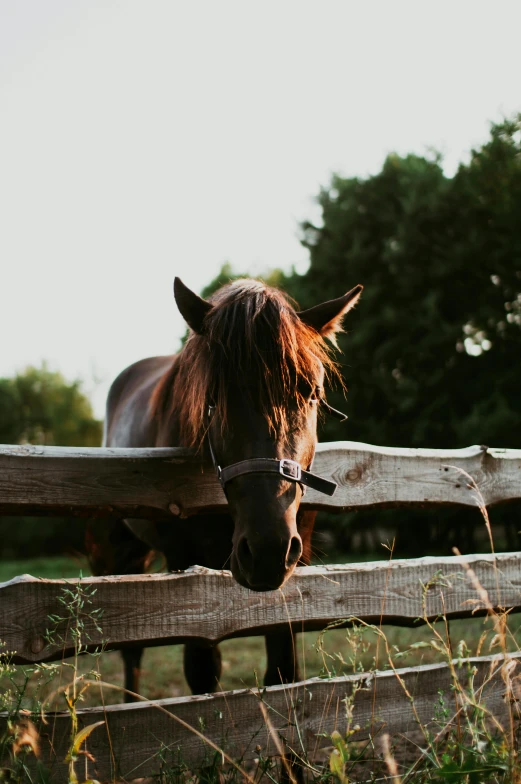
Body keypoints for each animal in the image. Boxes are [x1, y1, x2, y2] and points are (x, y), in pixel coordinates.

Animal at [85, 276, 362, 700]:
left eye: (311, 392)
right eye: (214, 397)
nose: (267, 548)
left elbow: (282, 670)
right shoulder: (185, 566)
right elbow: (202, 673)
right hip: (125, 548)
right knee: (132, 653)